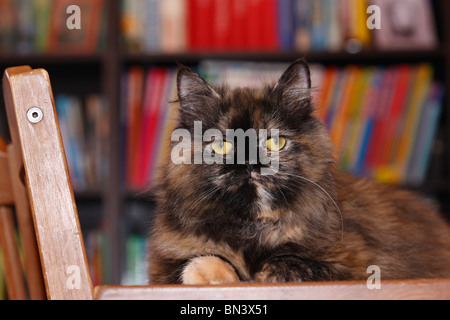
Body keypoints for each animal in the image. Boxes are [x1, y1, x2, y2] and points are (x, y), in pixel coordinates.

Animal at [148, 58, 450, 284]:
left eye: (275, 142)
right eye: (222, 145)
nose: (250, 164)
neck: (255, 225)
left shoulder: (358, 263)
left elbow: (295, 264)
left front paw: (267, 272)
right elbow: (203, 260)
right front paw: (209, 270)